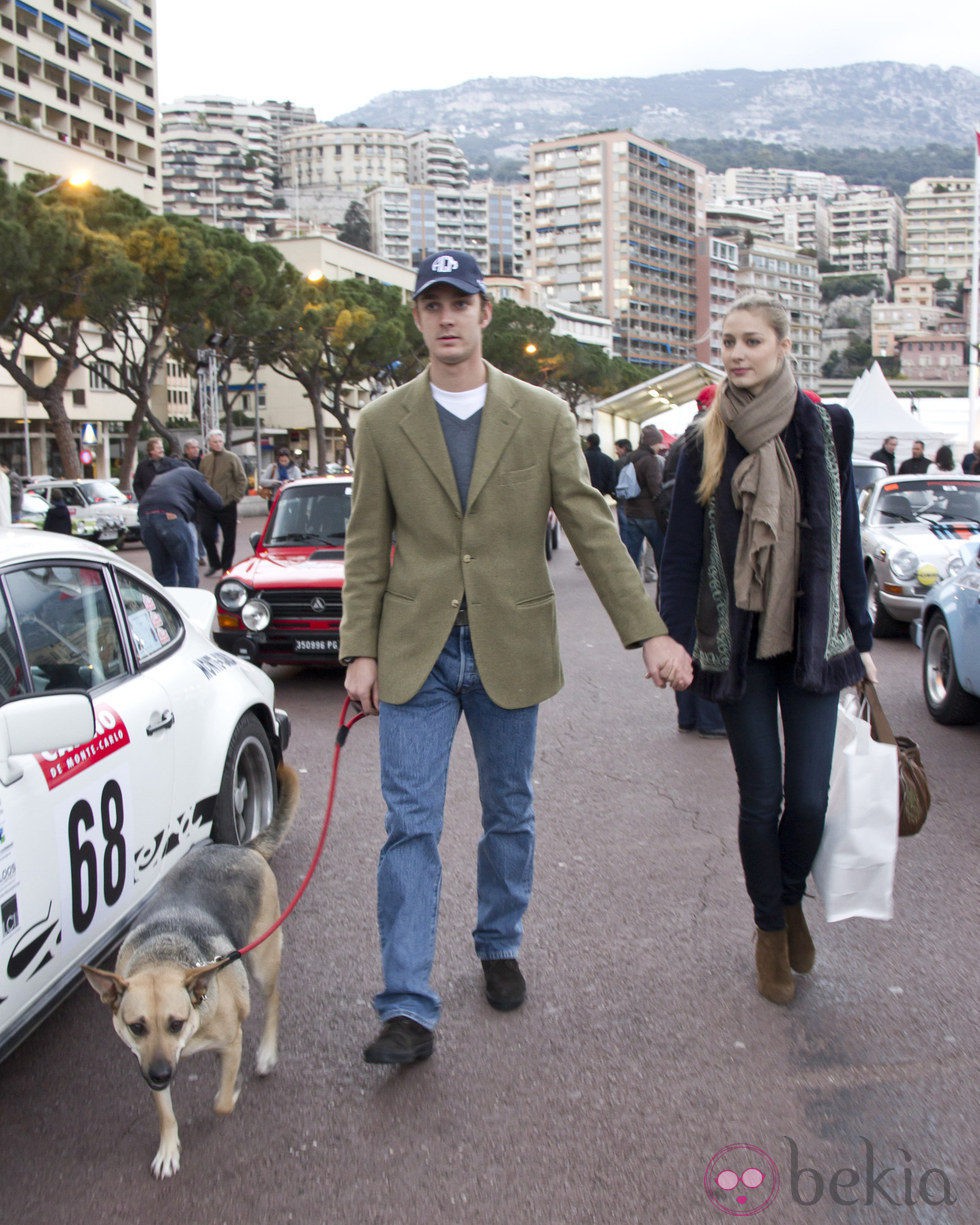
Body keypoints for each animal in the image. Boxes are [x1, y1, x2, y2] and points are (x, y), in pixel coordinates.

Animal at [82, 764, 298, 1176]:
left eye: (175, 1023)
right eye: (136, 1027)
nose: (160, 1075)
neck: (164, 955)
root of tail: (242, 846)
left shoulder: (230, 1042)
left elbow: (222, 1103)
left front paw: (232, 1089)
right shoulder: (148, 1060)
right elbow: (166, 1114)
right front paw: (169, 1150)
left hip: (263, 959)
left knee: (274, 998)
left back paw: (266, 1054)